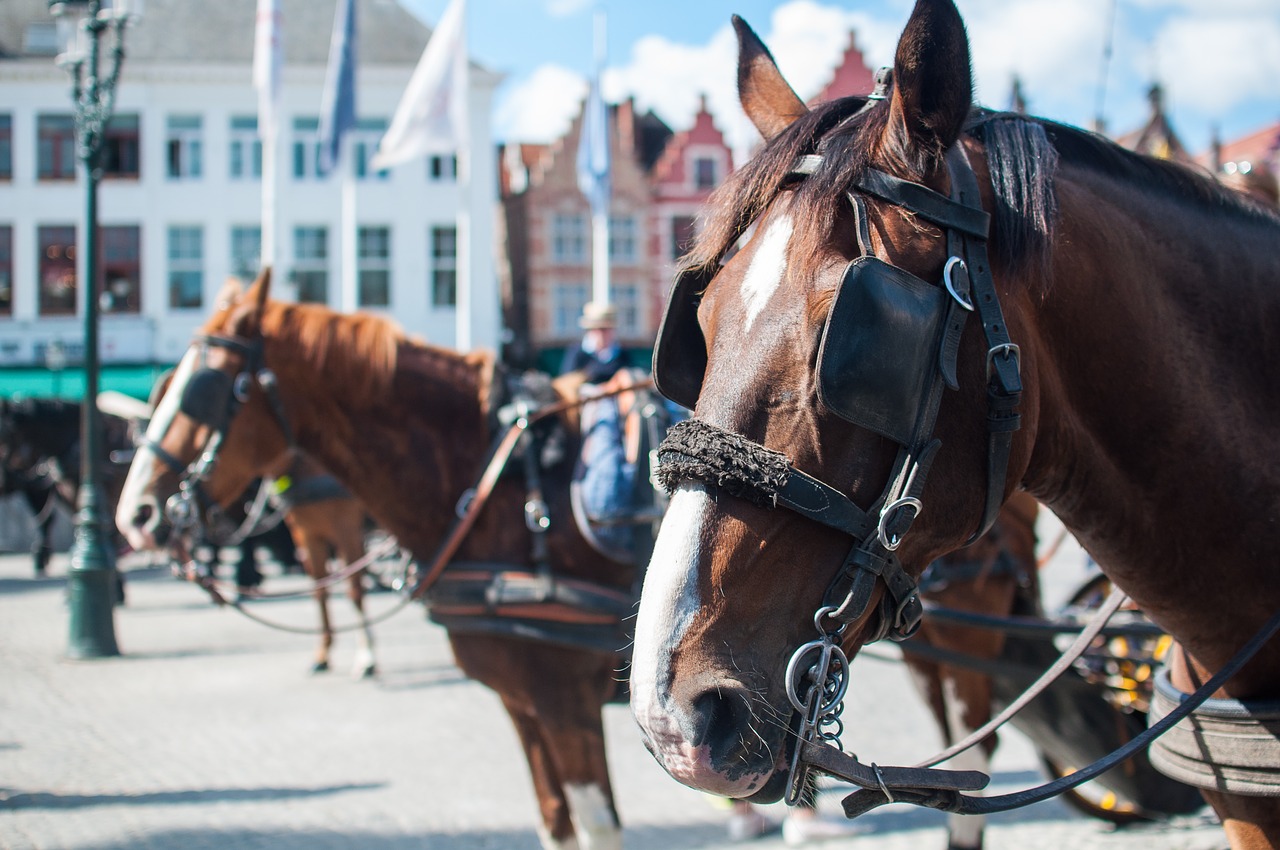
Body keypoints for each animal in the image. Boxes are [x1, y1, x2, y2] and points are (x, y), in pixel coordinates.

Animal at [120, 273, 650, 850]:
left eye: (206, 387)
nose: (136, 514)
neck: (498, 486)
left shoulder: (564, 698)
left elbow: (597, 824)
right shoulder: (522, 700)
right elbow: (554, 819)